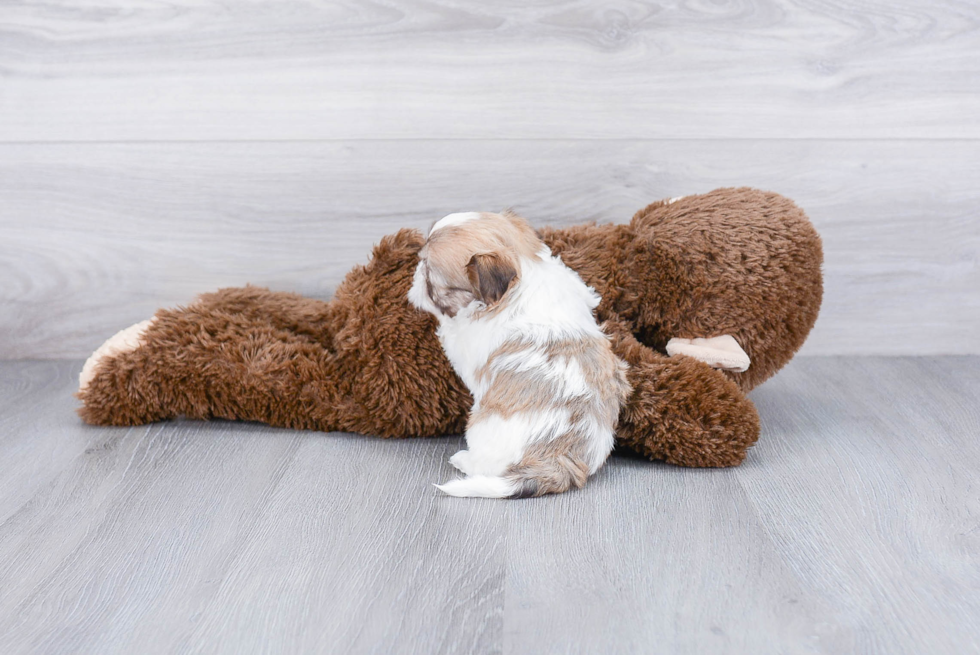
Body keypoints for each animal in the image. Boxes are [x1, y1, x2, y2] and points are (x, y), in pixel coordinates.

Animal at [408, 213, 632, 500]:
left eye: (427, 271)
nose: (414, 274)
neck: (524, 273)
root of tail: (558, 458)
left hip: (480, 427)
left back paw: (463, 460)